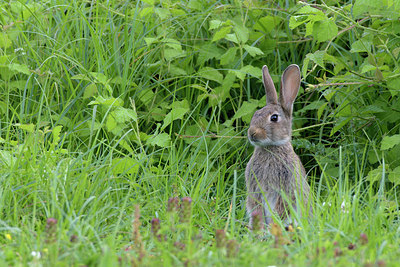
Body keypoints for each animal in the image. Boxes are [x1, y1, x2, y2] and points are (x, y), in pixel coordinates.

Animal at [244, 64, 312, 228]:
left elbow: (282, 208)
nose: (252, 133)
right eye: (255, 114)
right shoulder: (255, 189)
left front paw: (273, 225)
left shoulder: (287, 188)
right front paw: (261, 228)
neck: (271, 147)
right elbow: (257, 207)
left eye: (274, 118)